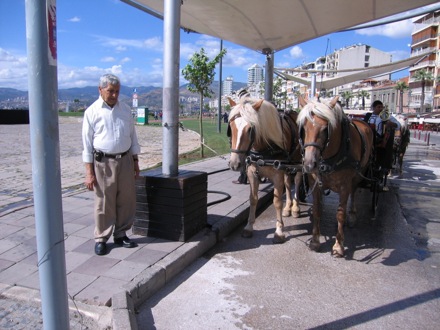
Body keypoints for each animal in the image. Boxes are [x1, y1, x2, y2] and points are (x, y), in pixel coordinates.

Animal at [229, 94, 304, 244]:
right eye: (231, 126)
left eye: (250, 129)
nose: (234, 163)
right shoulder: (252, 173)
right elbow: (253, 199)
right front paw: (249, 227)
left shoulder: (277, 175)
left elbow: (277, 202)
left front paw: (279, 231)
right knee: (288, 183)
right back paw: (288, 208)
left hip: (298, 163)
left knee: (297, 181)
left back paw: (295, 208)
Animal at [298, 96, 372, 258]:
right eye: (303, 128)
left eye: (326, 129)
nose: (309, 164)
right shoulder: (315, 182)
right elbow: (317, 210)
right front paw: (315, 241)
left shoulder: (344, 185)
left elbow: (340, 214)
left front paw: (338, 246)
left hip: (358, 175)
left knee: (353, 192)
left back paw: (352, 215)